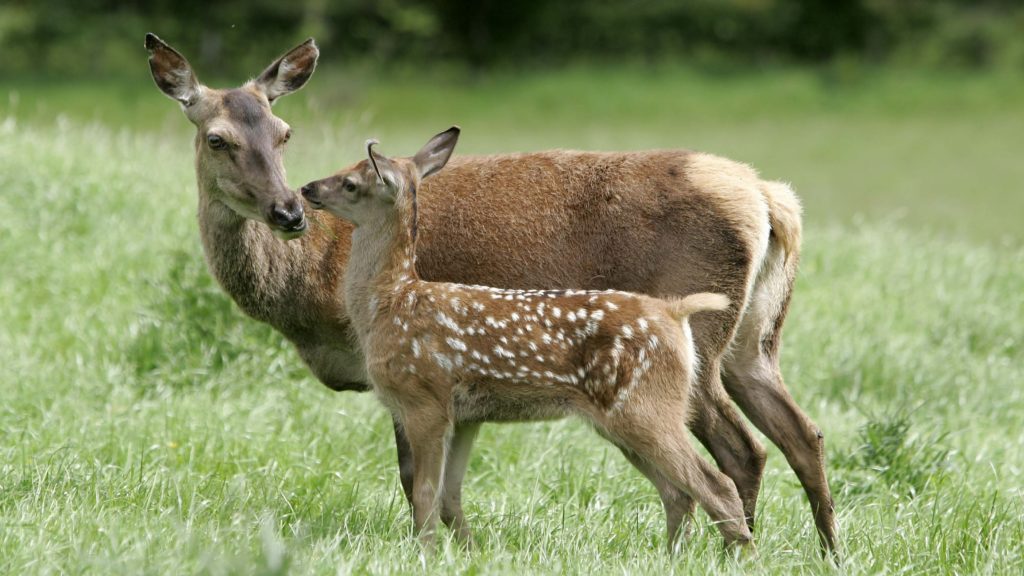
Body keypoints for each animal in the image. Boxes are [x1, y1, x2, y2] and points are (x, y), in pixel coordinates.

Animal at [144, 33, 831, 549]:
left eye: (284, 132)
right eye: (217, 138)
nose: (289, 211)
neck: (314, 288)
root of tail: (770, 199)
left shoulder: (410, 373)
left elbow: (413, 478)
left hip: (696, 345)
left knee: (740, 451)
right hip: (754, 339)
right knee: (800, 434)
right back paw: (826, 549)